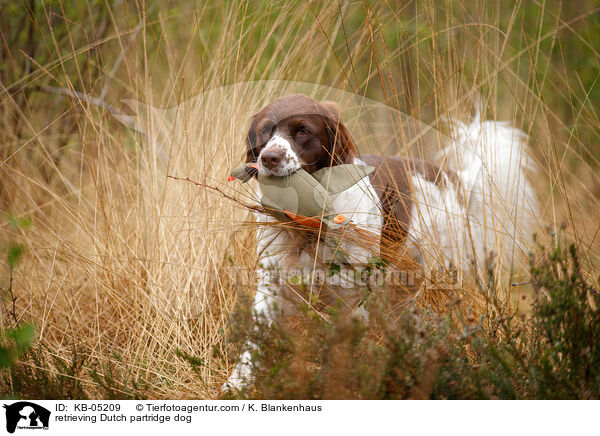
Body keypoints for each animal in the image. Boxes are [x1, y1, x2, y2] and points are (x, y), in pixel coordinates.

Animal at [226, 93, 540, 390]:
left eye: (303, 131)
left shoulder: (353, 290)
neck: (307, 226)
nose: (269, 158)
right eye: (265, 131)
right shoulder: (273, 282)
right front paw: (237, 384)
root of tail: (449, 177)